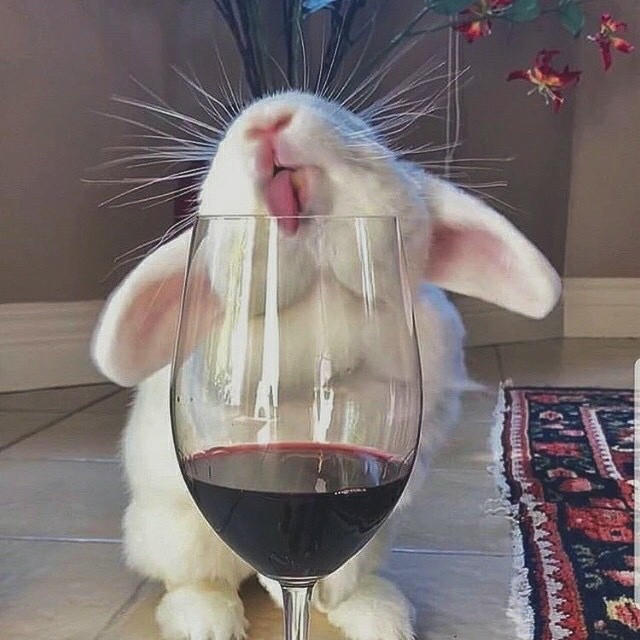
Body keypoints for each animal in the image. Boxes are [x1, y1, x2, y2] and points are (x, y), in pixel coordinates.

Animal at [92, 90, 561, 640]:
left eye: (370, 166)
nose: (269, 129)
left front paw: (328, 594)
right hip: (175, 532)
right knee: (198, 577)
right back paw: (205, 621)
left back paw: (380, 616)